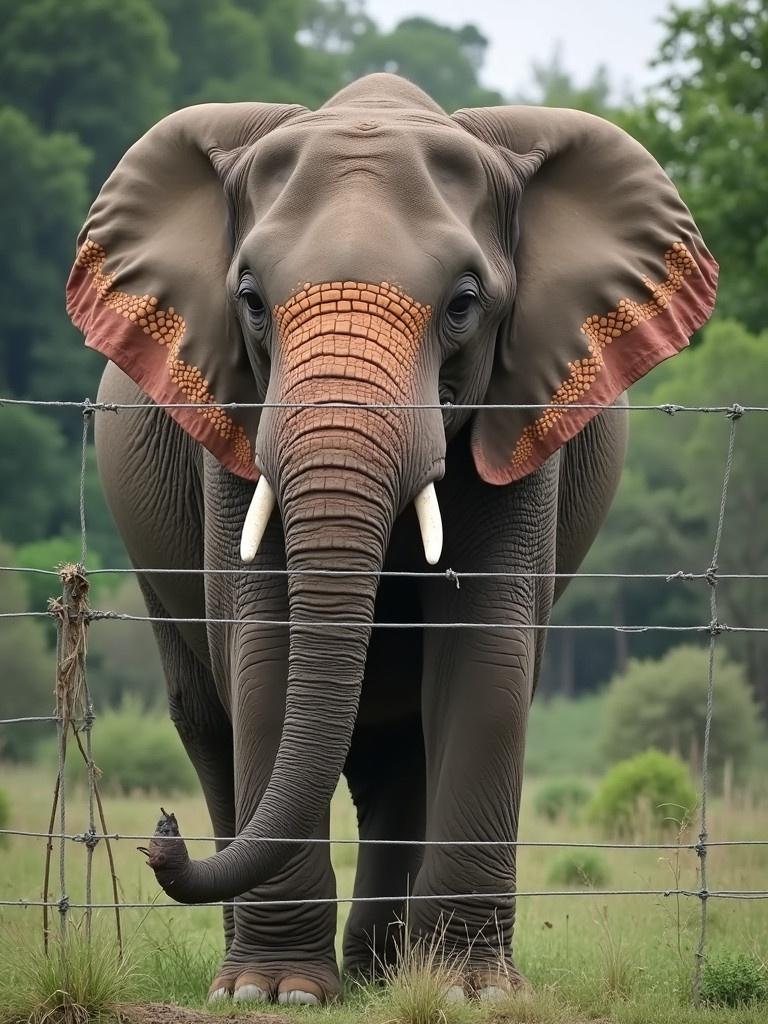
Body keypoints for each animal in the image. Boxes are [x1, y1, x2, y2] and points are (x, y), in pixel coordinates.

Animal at [66, 74, 716, 1007]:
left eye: (464, 305)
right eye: (250, 301)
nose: (159, 835)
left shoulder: (521, 409)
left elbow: (486, 655)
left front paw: (470, 993)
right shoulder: (230, 419)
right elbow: (263, 652)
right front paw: (275, 994)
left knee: (402, 751)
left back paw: (384, 972)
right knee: (208, 720)